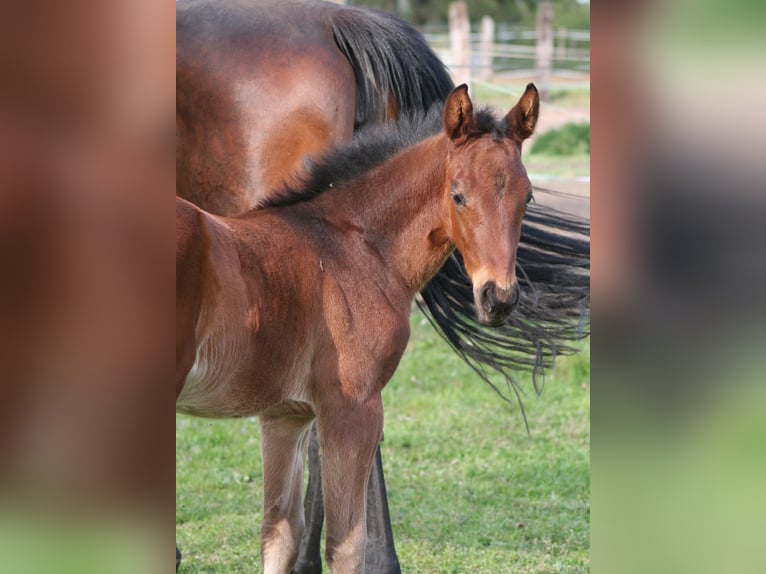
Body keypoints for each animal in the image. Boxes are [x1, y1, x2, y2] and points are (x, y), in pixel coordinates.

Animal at [177, 1, 589, 571]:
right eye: (457, 195)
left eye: (527, 197)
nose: (498, 298)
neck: (351, 241)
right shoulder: (353, 407)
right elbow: (344, 544)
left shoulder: (283, 415)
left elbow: (278, 534)